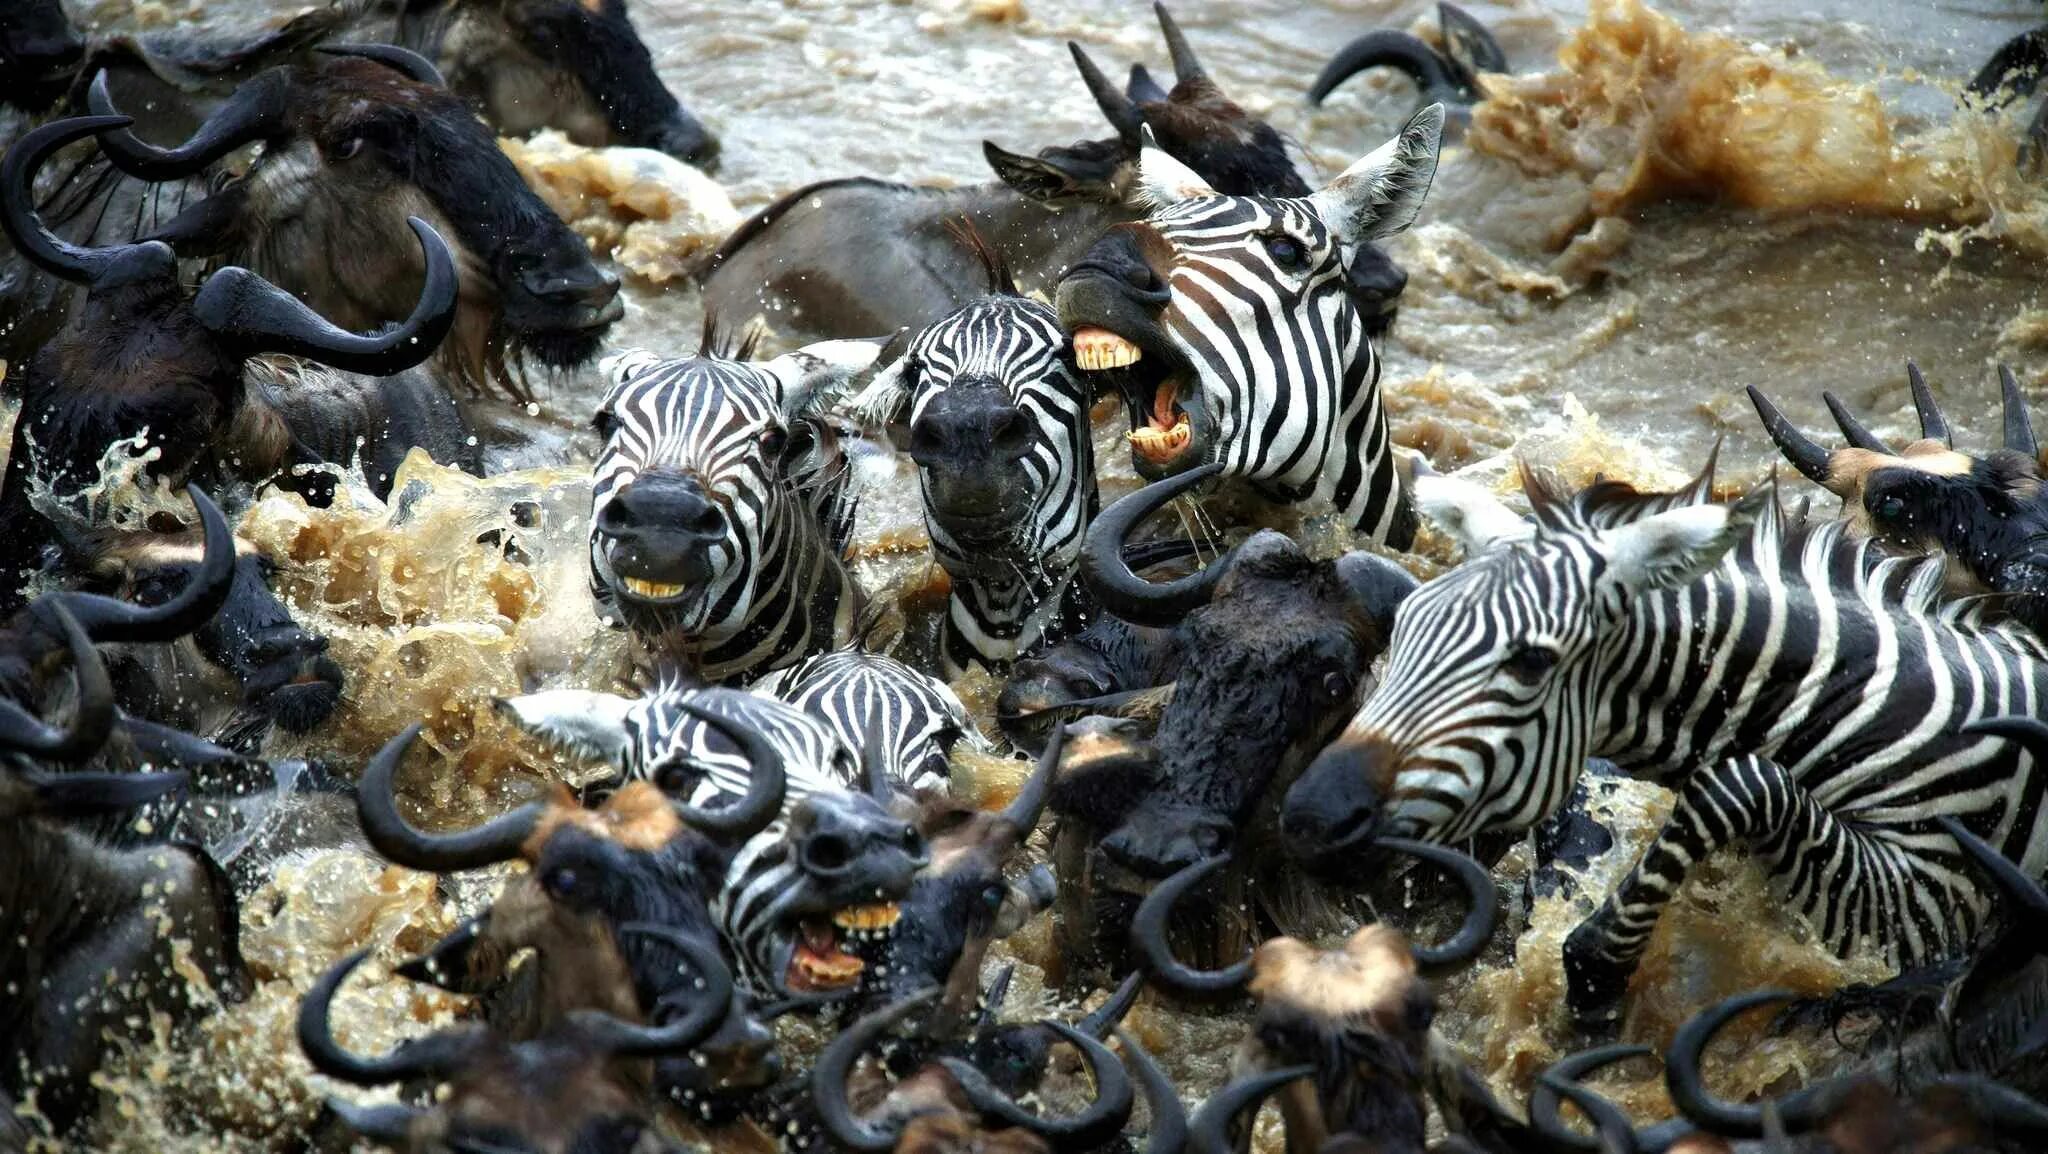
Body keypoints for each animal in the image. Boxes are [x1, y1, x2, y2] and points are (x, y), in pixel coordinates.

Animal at [1280, 459, 2048, 1026]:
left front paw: (1598, 971)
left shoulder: (1926, 906)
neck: (1878, 711)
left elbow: (1733, 782)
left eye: (1530, 663)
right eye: (1406, 622)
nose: (1312, 817)